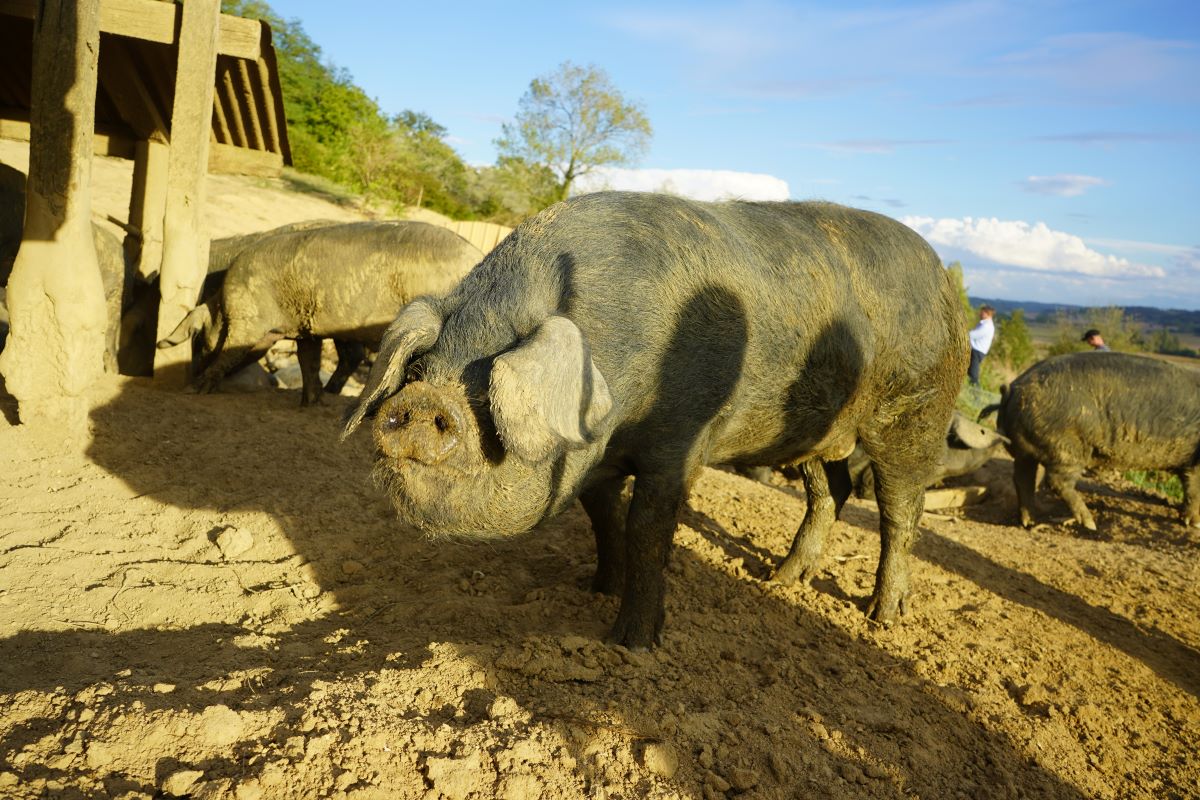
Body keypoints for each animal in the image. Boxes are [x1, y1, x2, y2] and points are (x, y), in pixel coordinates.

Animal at [158, 220, 482, 402]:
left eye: (200, 340)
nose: (188, 375)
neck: (221, 305)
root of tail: (476, 253)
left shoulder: (246, 318)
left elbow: (230, 351)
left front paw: (193, 391)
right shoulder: (305, 330)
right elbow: (309, 360)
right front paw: (311, 401)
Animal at [343, 194, 969, 652]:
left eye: (488, 389)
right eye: (420, 368)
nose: (422, 403)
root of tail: (945, 278)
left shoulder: (682, 440)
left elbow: (647, 528)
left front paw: (631, 644)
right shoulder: (595, 466)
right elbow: (604, 518)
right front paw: (596, 587)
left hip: (916, 411)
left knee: (900, 509)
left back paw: (882, 617)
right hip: (814, 435)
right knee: (830, 491)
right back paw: (779, 581)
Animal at [979, 352, 1195, 532]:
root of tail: (1013, 388)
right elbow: (1193, 485)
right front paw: (1194, 524)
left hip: (1024, 448)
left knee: (1023, 478)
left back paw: (1029, 522)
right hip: (1066, 446)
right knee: (1055, 481)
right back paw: (1090, 524)